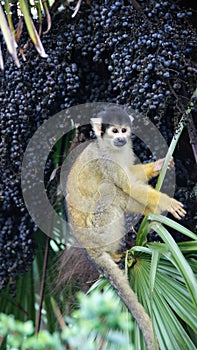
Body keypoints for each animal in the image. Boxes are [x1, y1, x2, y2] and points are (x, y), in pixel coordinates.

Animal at [65, 105, 186, 348]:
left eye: (124, 130)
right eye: (114, 131)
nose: (121, 138)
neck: (111, 148)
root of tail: (89, 248)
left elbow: (131, 176)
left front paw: (157, 166)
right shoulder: (105, 161)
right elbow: (127, 185)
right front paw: (166, 202)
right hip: (98, 231)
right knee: (111, 191)